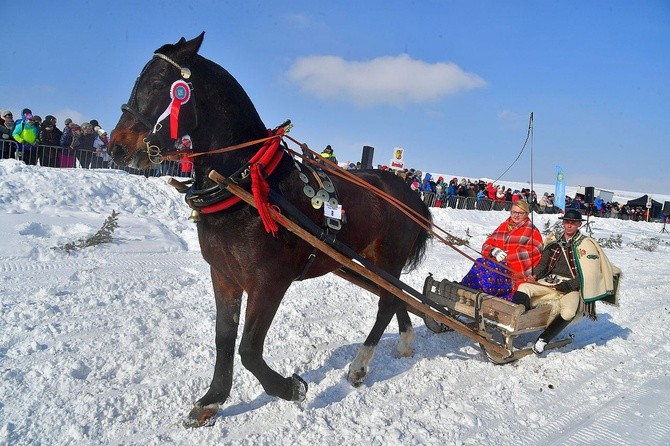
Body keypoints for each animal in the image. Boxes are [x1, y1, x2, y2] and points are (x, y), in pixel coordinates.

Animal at [109, 32, 430, 428]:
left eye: (157, 83)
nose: (116, 146)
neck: (244, 183)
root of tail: (409, 191)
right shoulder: (224, 274)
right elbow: (224, 337)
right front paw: (213, 399)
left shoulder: (269, 282)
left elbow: (248, 348)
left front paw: (290, 388)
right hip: (367, 262)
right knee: (397, 296)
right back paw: (405, 341)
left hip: (387, 259)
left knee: (386, 302)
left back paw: (360, 365)